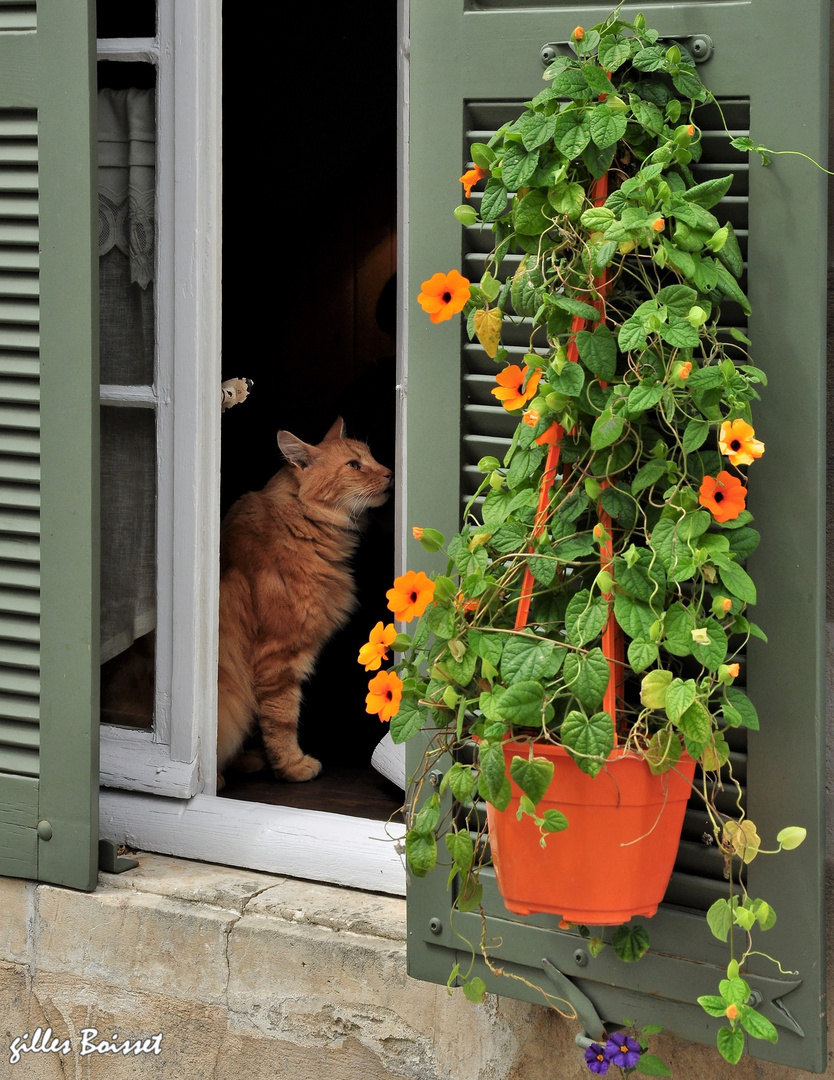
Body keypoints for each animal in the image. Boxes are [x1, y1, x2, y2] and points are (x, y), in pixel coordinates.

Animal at [218, 416, 393, 781]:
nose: (389, 472)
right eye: (354, 465)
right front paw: (291, 766)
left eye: (371, 457)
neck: (300, 521)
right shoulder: (279, 654)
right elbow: (281, 718)